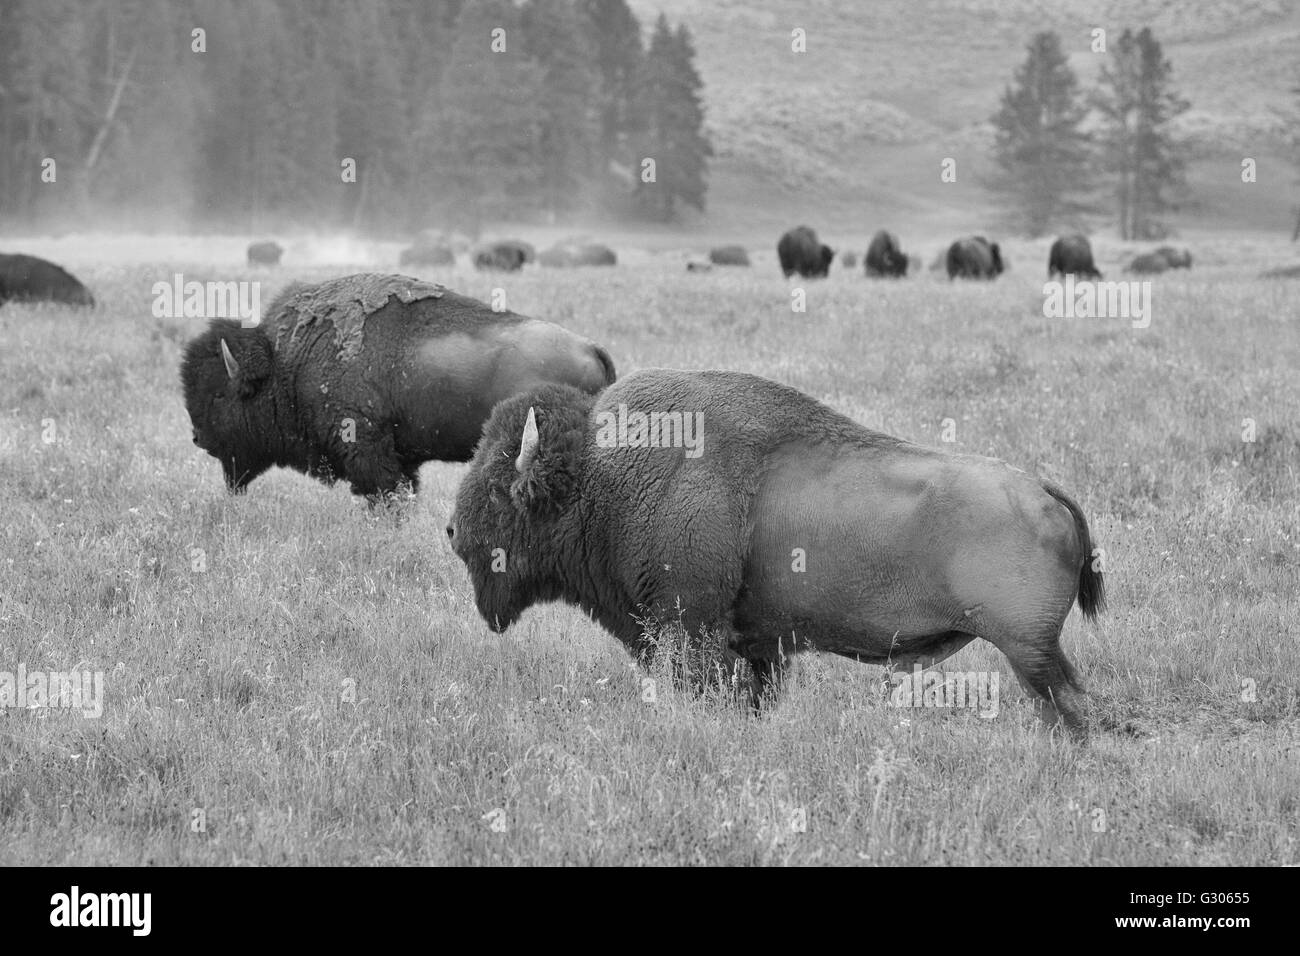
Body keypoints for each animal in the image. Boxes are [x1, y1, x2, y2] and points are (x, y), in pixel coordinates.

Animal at [180, 270, 616, 502]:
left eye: (219, 393)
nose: (198, 437)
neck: (285, 361)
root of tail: (591, 348)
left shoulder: (368, 450)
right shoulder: (401, 459)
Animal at [449, 366, 1107, 733]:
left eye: (497, 487)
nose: (452, 531)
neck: (598, 473)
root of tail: (1043, 490)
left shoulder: (691, 630)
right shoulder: (757, 651)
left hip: (1028, 649)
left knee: (1071, 709)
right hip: (1033, 653)